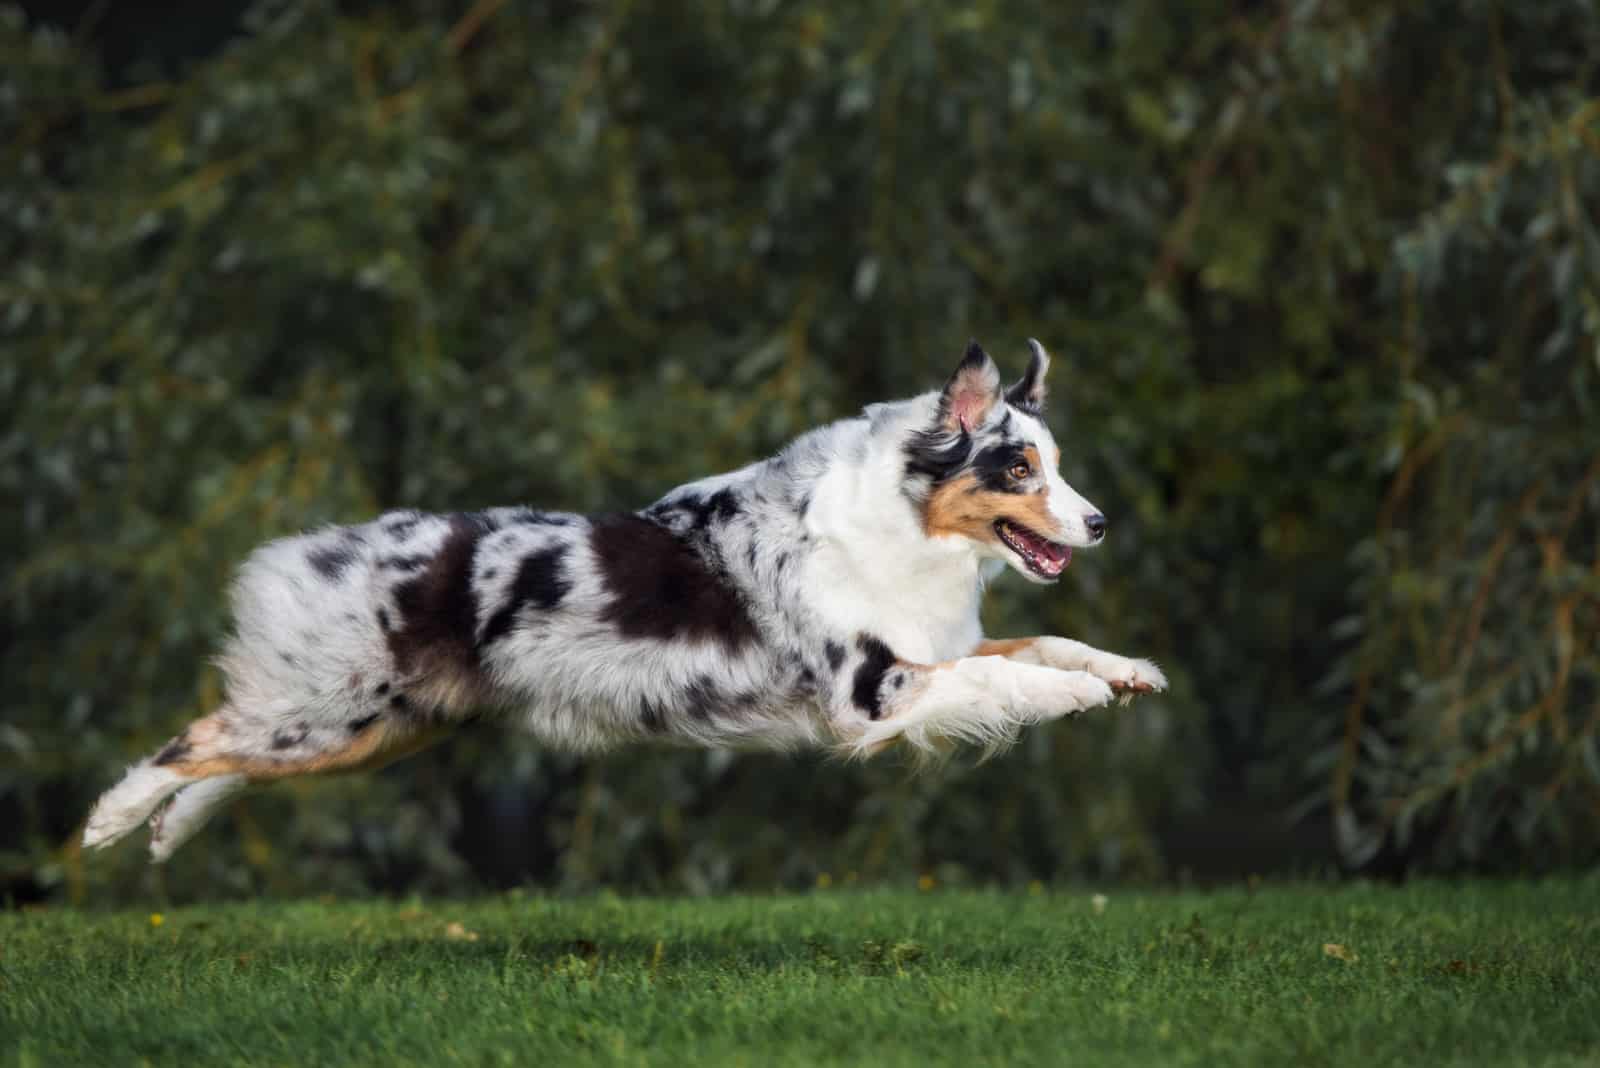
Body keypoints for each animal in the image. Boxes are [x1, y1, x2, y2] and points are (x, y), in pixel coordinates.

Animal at [84, 340, 1164, 856]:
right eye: (1019, 468)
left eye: (1055, 463)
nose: (1103, 521)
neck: (904, 528)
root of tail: (321, 548)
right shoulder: (874, 695)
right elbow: (1011, 685)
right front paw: (1075, 700)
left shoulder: (932, 651)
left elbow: (1041, 645)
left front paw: (1125, 674)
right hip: (340, 711)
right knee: (195, 738)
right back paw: (110, 820)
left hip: (378, 724)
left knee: (234, 749)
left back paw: (169, 829)